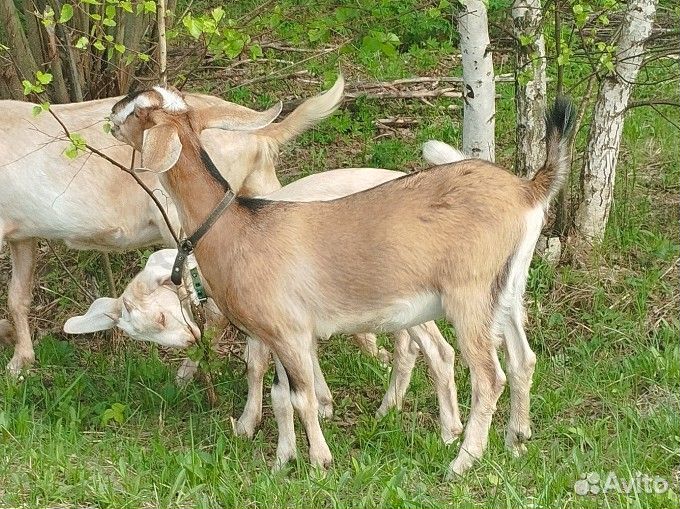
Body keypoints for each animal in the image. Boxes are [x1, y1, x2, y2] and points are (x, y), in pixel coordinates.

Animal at [0, 80, 343, 376]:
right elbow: (17, 296)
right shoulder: (22, 233)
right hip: (262, 186)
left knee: (213, 308)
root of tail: (260, 138)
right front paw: (21, 361)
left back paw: (189, 370)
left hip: (180, 224)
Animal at [64, 165, 466, 442]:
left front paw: (253, 422)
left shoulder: (276, 316)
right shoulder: (280, 321)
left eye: (162, 316)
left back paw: (444, 427)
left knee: (435, 349)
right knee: (409, 345)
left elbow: (266, 367)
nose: (190, 342)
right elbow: (281, 363)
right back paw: (390, 405)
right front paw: (319, 404)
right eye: (144, 336)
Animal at [109, 83, 574, 476]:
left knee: (488, 375)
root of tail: (527, 191)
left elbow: (301, 398)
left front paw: (319, 461)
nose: (111, 113)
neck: (238, 229)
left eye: (138, 108)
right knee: (522, 358)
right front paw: (282, 461)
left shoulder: (289, 332)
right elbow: (281, 397)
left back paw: (462, 461)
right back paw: (516, 441)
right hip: (508, 291)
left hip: (470, 295)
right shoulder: (279, 333)